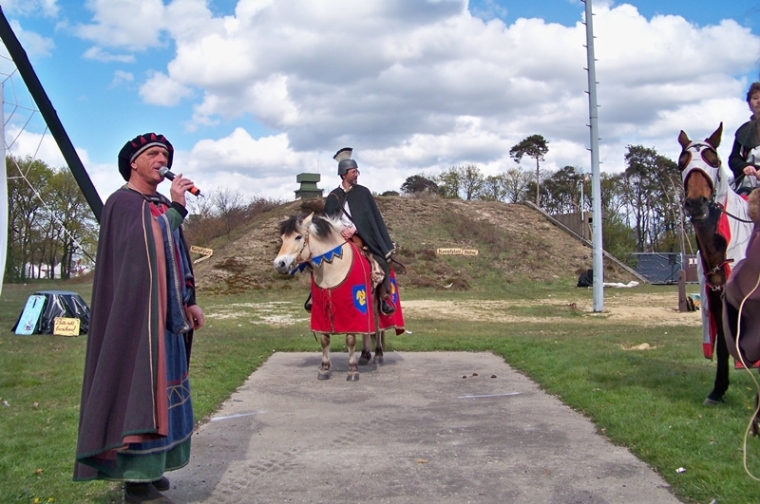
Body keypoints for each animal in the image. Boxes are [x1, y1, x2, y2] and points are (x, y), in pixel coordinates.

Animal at [274, 213, 388, 382]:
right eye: (282, 238)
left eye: (298, 237)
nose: (279, 264)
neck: (332, 265)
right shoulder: (322, 309)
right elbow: (324, 339)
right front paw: (324, 368)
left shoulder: (353, 307)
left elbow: (350, 339)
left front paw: (352, 370)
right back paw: (365, 355)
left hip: (372, 301)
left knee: (376, 324)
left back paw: (378, 354)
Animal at [680, 123, 752, 406]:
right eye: (682, 162)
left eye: (714, 160)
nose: (695, 202)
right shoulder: (717, 297)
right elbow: (721, 345)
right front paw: (718, 390)